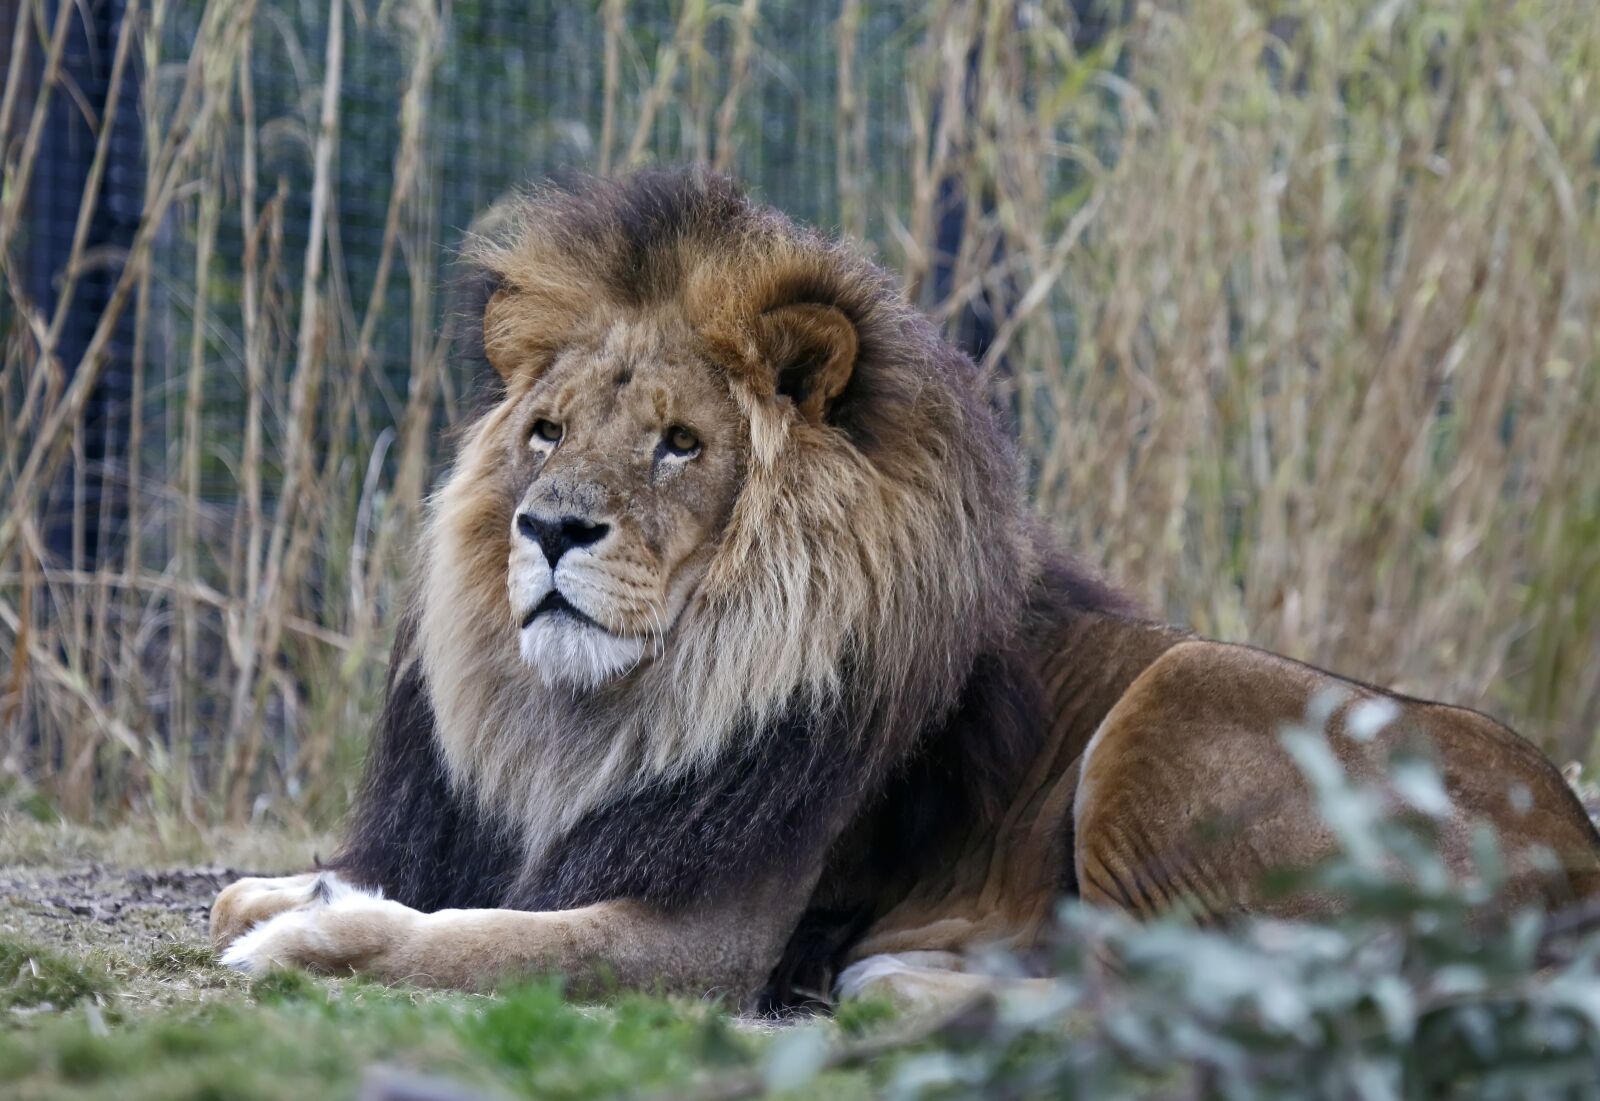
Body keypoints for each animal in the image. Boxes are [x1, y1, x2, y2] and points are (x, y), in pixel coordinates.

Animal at [211, 168, 1600, 1011]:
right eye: (546, 432)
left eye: (679, 445)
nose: (550, 528)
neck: (609, 709)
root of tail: (1577, 863)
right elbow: (374, 888)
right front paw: (291, 888)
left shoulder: (701, 943)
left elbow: (467, 937)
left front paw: (306, 932)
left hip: (1180, 691)